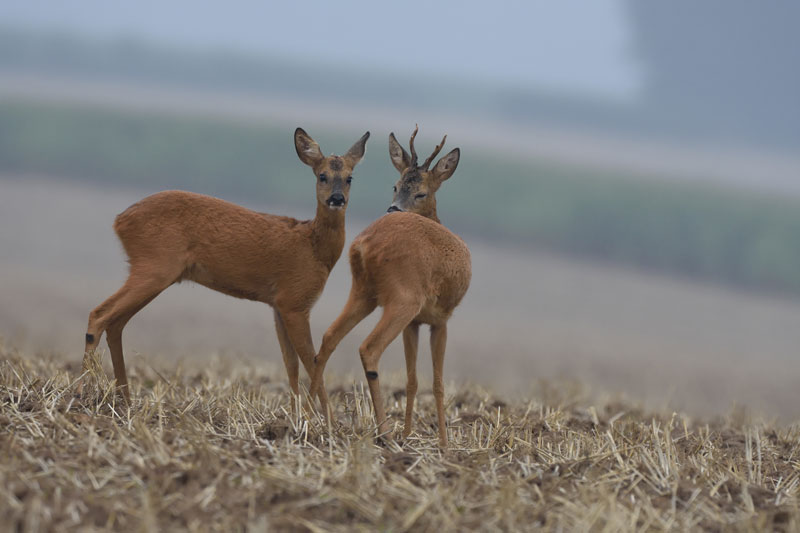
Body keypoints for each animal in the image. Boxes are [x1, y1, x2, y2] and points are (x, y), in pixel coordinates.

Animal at [81, 127, 368, 410]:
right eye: (322, 176)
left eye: (350, 178)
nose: (337, 199)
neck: (314, 248)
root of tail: (120, 220)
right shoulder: (295, 301)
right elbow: (313, 360)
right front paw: (323, 418)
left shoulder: (278, 305)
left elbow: (291, 364)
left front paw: (296, 414)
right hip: (153, 267)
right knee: (100, 314)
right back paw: (85, 390)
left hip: (154, 272)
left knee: (116, 323)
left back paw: (124, 399)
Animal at [308, 125, 468, 444]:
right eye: (395, 186)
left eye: (421, 192)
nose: (393, 209)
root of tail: (363, 244)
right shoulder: (440, 319)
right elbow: (438, 383)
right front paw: (444, 445)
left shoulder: (415, 323)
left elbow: (412, 380)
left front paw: (409, 434)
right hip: (402, 300)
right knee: (369, 348)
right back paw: (383, 432)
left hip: (363, 293)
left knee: (329, 336)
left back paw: (309, 415)